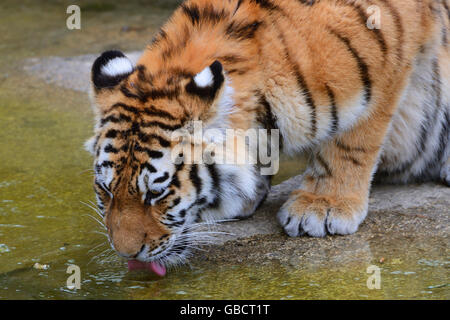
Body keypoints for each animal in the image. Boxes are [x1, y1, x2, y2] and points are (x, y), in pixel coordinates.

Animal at [85, 0, 450, 272]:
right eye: (106, 190)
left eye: (157, 194)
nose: (126, 254)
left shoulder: (388, 62)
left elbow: (351, 142)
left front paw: (323, 206)